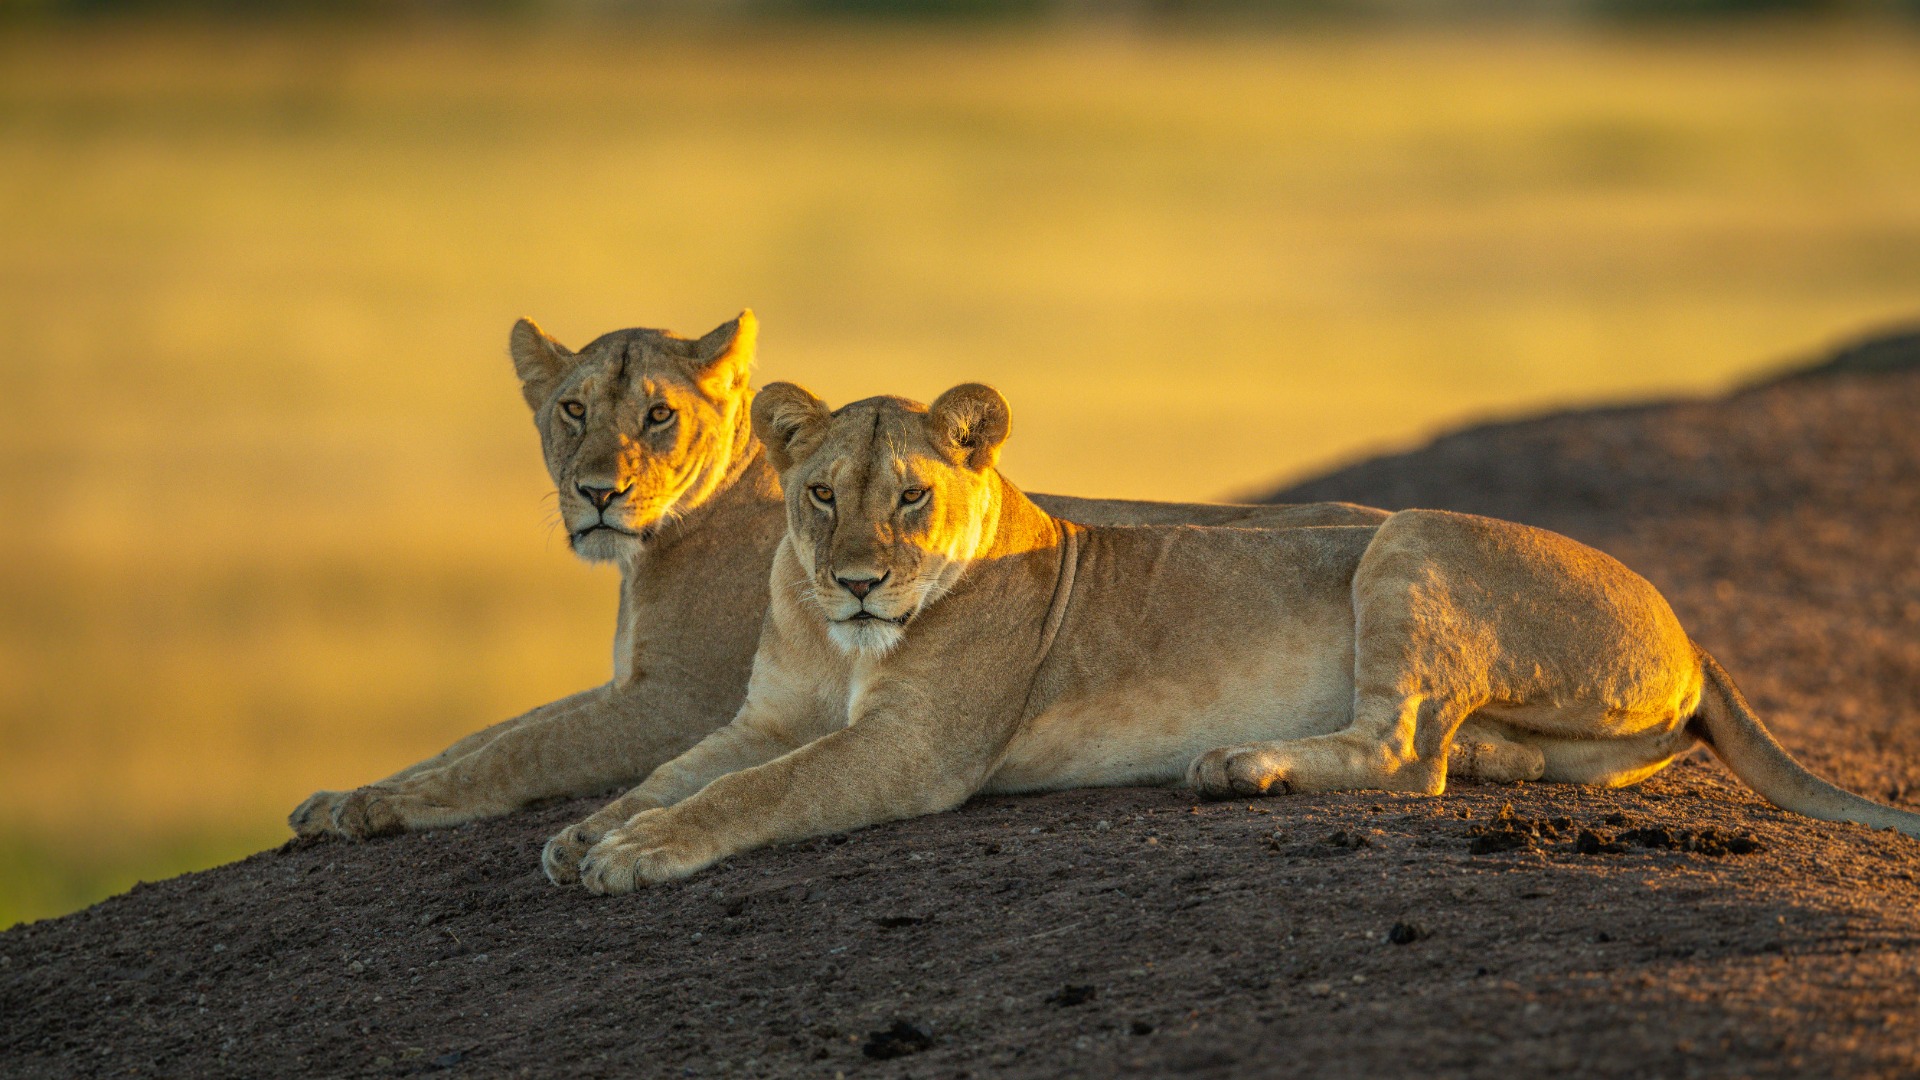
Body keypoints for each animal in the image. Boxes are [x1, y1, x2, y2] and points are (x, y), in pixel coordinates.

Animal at [289, 313, 1387, 847]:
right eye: (570, 409)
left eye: (658, 414)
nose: (599, 493)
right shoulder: (674, 697)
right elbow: (488, 732)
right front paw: (349, 793)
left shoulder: (678, 699)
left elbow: (517, 751)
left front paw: (376, 809)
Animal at [555, 381, 1920, 894]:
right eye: (822, 494)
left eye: (912, 498)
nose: (853, 583)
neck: (843, 647)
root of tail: (1690, 627)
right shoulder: (766, 714)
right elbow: (681, 766)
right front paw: (586, 832)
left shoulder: (913, 750)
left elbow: (758, 793)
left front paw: (640, 852)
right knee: (1466, 749)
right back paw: (1485, 755)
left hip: (1407, 538)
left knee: (1406, 754)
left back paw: (1240, 765)